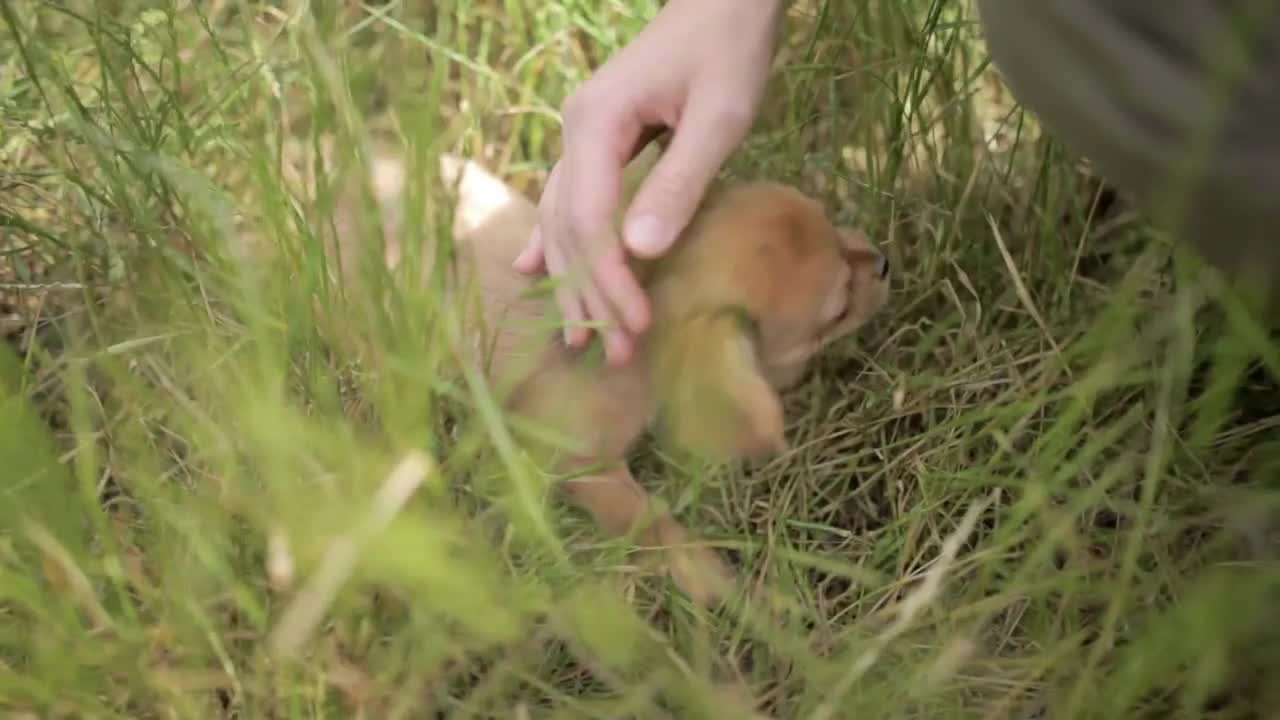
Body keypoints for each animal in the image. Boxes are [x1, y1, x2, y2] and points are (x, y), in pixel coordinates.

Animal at [330, 137, 890, 602]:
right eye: (838, 307)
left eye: (829, 216)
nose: (883, 259)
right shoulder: (577, 462)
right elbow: (648, 517)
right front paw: (707, 573)